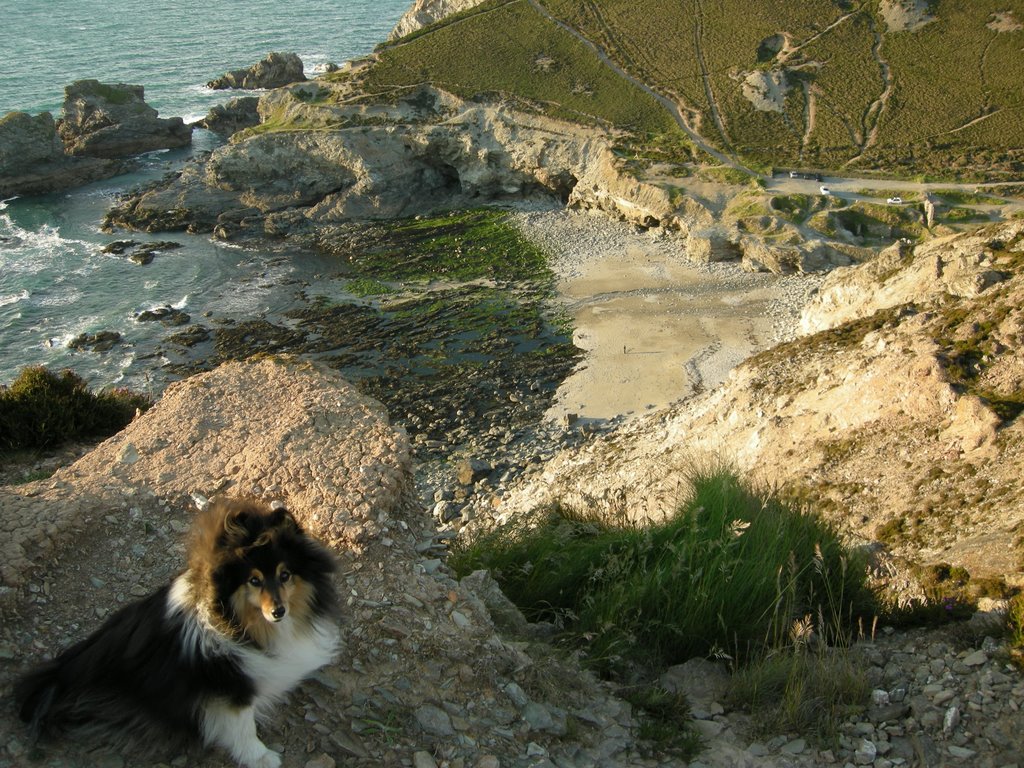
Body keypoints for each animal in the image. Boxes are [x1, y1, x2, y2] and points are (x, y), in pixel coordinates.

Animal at [14, 499, 339, 768]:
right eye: (254, 580)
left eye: (285, 575)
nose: (278, 611)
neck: (238, 622)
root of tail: (61, 671)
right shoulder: (228, 682)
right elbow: (242, 724)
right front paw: (261, 757)